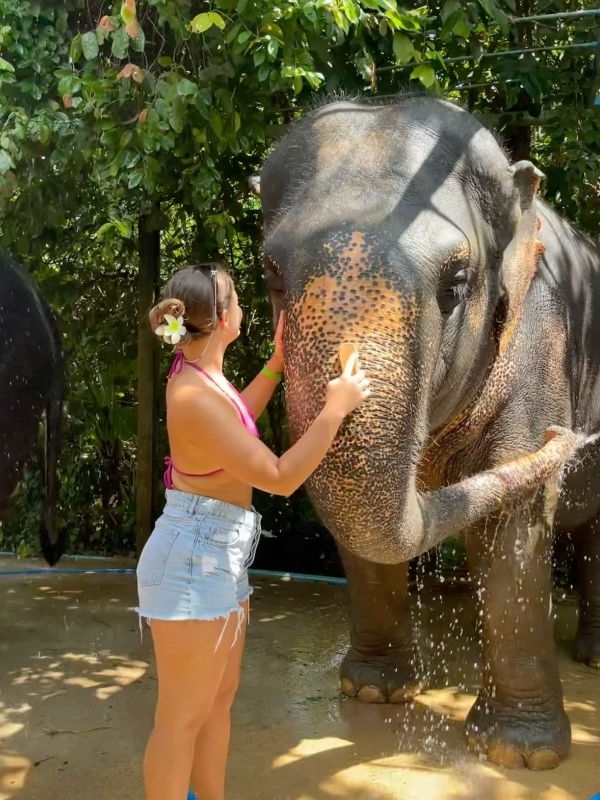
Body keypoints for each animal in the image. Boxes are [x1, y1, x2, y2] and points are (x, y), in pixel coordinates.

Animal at [258, 95, 600, 771]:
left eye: (456, 284)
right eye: (272, 275)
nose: (566, 438)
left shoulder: (541, 342)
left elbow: (513, 529)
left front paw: (520, 756)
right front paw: (374, 692)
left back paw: (592, 659)